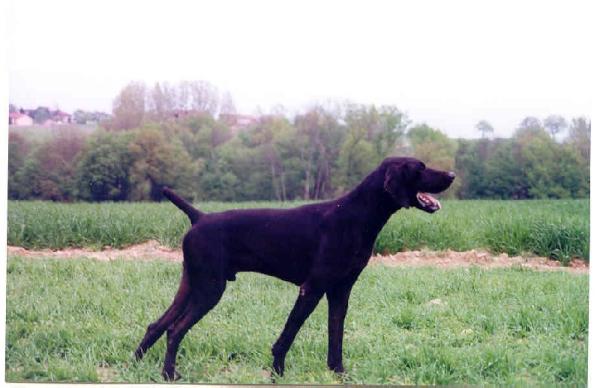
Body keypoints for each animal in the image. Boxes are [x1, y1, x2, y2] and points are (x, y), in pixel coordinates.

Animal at [135, 156, 454, 380]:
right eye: (420, 167)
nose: (451, 174)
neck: (355, 215)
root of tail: (199, 217)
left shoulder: (340, 291)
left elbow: (335, 337)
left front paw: (338, 373)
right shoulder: (312, 288)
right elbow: (289, 333)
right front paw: (277, 373)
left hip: (192, 284)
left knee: (158, 325)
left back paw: (137, 363)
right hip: (210, 289)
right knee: (174, 330)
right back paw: (169, 375)